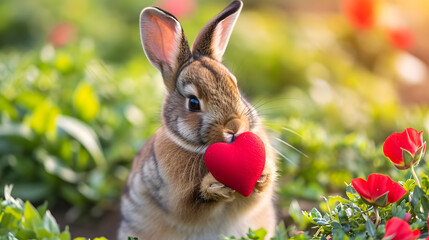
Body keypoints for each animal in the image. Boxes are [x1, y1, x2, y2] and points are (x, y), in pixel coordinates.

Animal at [117, 0, 278, 239]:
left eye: (235, 86)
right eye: (193, 103)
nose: (235, 127)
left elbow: (255, 197)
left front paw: (263, 175)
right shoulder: (176, 198)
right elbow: (192, 205)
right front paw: (214, 187)